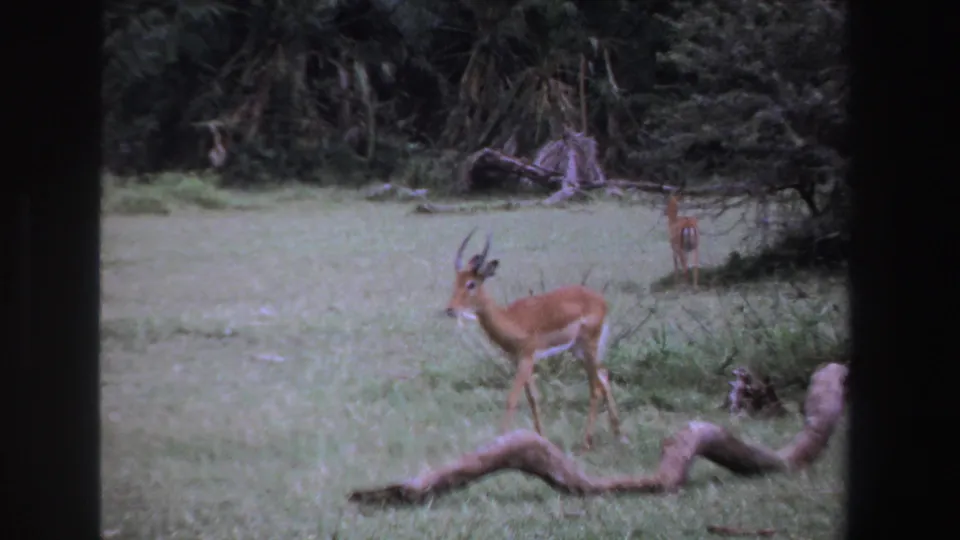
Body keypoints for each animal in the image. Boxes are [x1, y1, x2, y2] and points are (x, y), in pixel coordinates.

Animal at [444, 228, 627, 451]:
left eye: (471, 284)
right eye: (456, 282)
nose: (450, 309)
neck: (511, 319)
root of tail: (602, 301)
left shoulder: (527, 358)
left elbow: (512, 399)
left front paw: (500, 440)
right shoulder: (521, 360)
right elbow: (533, 399)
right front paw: (541, 438)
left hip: (589, 346)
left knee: (595, 389)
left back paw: (586, 443)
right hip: (578, 349)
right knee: (604, 375)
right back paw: (620, 436)